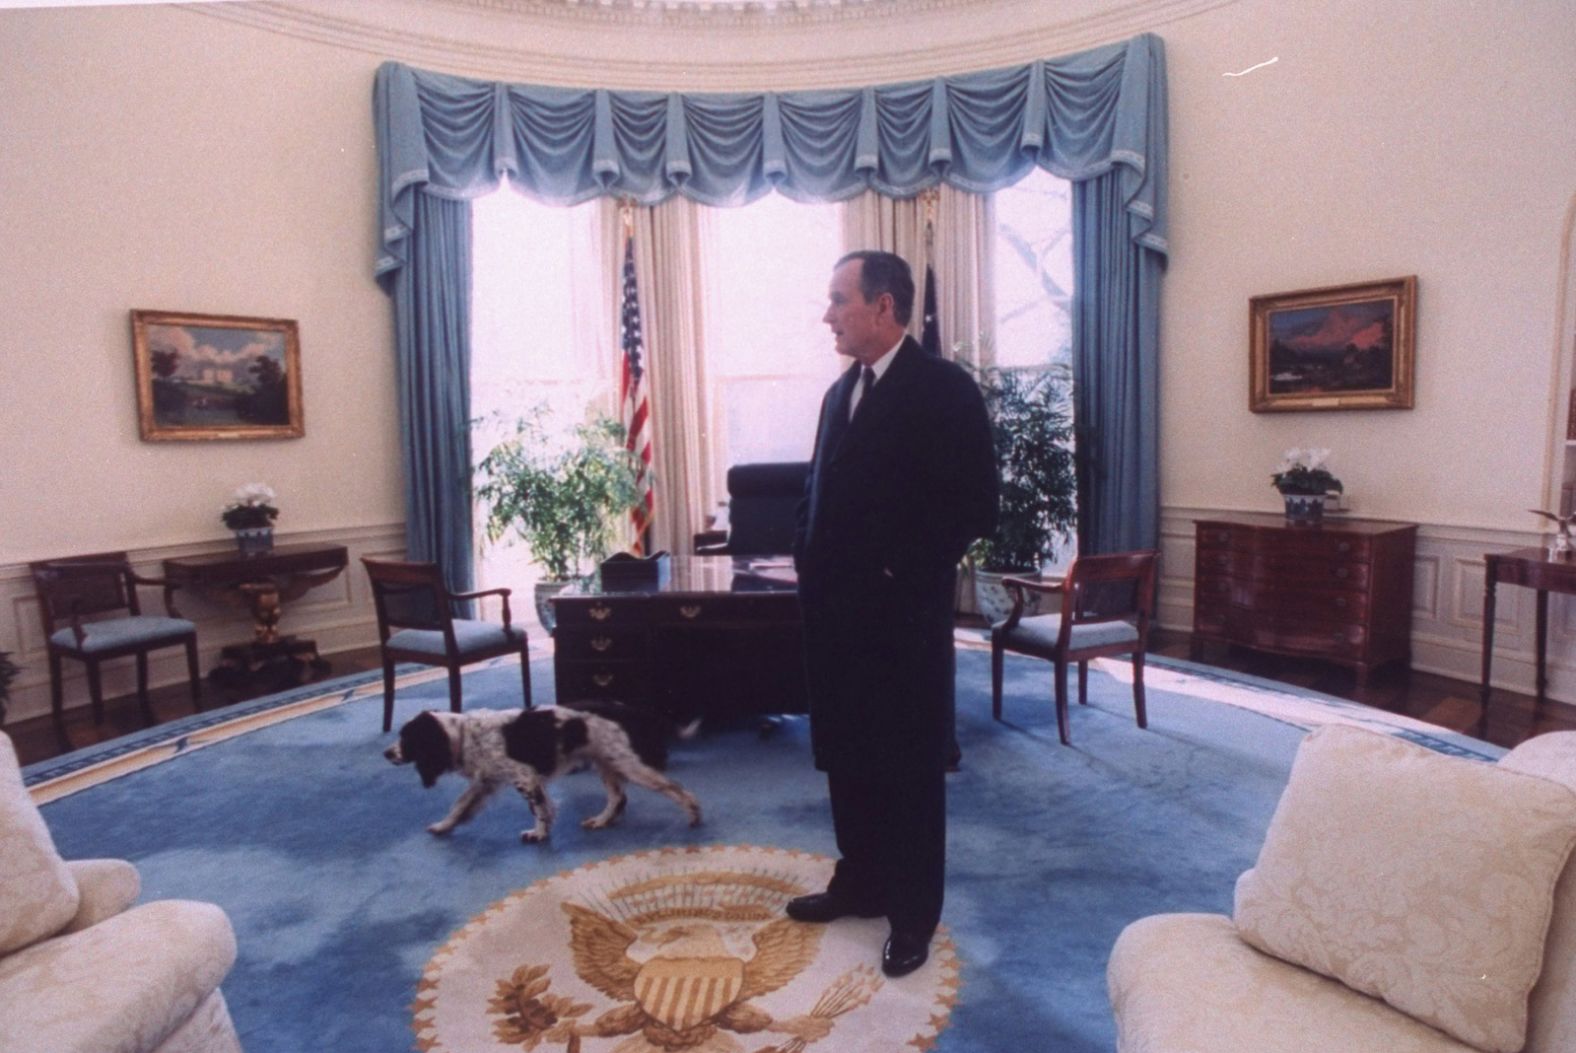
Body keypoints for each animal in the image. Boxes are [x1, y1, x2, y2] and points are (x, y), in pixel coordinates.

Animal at [381, 703, 702, 844]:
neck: (464, 735)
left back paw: (693, 814)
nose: (386, 753)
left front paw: (538, 834)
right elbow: (460, 807)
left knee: (673, 787)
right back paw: (600, 821)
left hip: (627, 763)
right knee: (618, 798)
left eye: (406, 738)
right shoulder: (486, 782)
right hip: (606, 762)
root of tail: (625, 708)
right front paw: (442, 826)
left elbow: (538, 809)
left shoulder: (524, 778)